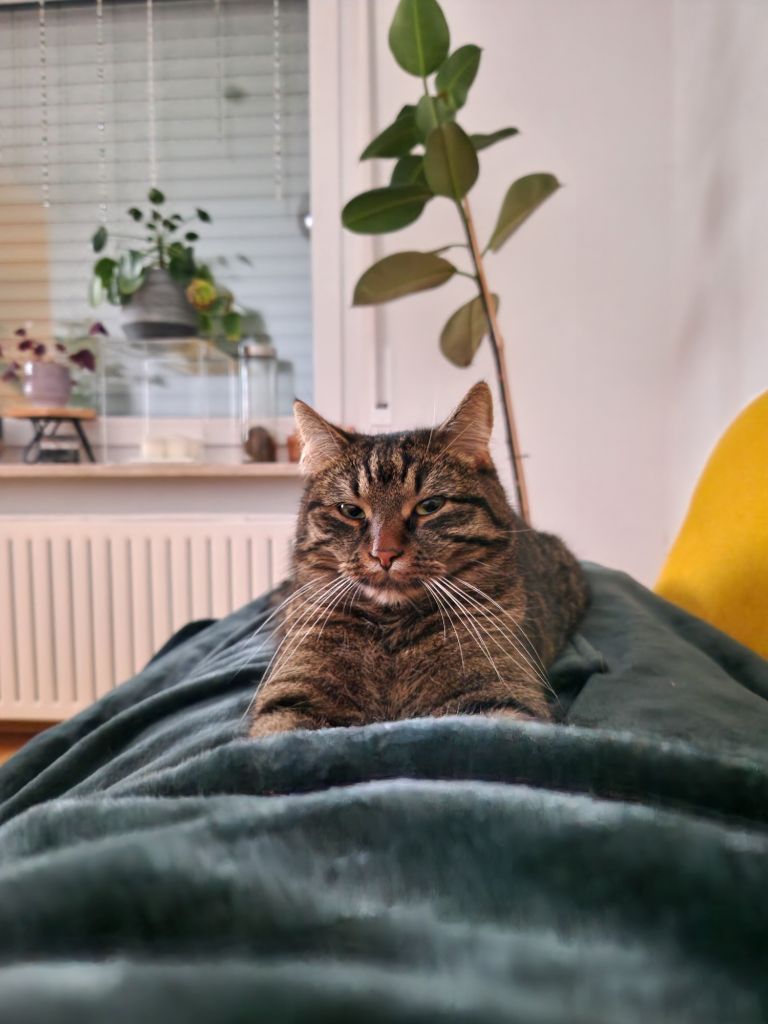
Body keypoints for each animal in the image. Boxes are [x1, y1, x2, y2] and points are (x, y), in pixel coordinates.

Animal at [249, 382, 589, 737]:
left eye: (430, 506)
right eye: (351, 511)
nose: (384, 553)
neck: (391, 632)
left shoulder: (500, 694)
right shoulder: (291, 697)